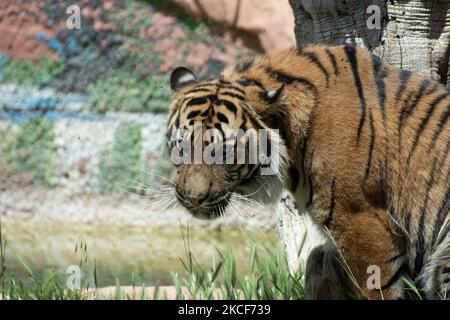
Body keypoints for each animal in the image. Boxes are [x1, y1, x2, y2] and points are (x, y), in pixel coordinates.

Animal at [165, 45, 450, 300]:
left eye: (224, 152)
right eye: (181, 145)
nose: (193, 198)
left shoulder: (364, 223)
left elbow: (377, 288)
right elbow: (317, 259)